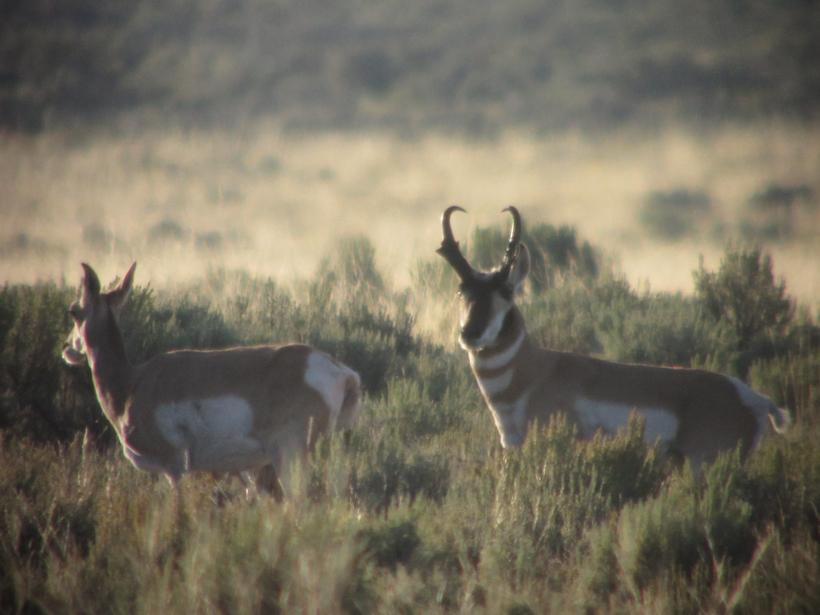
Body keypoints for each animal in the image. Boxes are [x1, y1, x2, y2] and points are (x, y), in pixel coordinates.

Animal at [62, 262, 361, 496]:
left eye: (73, 311)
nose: (67, 347)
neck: (132, 384)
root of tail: (339, 371)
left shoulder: (175, 470)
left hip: (288, 457)